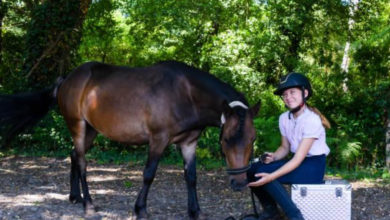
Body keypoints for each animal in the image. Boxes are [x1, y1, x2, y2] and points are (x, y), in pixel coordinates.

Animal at [1, 61, 260, 220]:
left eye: (253, 138)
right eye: (226, 139)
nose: (239, 184)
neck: (186, 93)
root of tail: (68, 78)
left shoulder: (189, 143)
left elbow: (191, 177)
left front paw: (195, 211)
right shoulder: (158, 140)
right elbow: (148, 174)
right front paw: (140, 209)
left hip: (92, 131)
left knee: (74, 156)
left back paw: (75, 197)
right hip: (77, 126)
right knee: (82, 162)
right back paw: (88, 204)